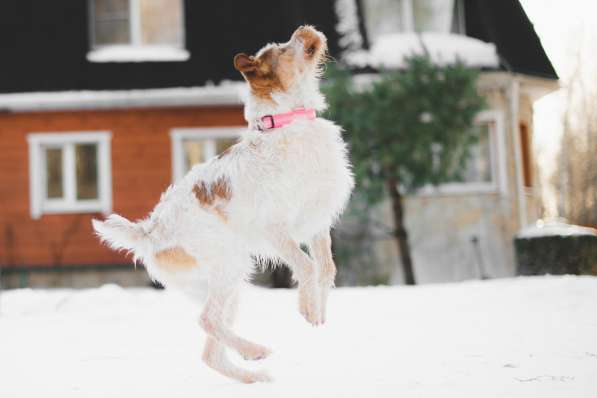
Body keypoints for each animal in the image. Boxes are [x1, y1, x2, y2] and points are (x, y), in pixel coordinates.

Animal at [93, 26, 354, 384]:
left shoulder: (316, 223)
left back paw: (254, 376)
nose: (304, 29)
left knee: (210, 352)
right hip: (230, 266)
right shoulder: (275, 230)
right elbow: (306, 266)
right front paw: (306, 306)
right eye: (282, 49)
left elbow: (326, 270)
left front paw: (318, 310)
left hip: (227, 284)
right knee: (206, 321)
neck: (288, 123)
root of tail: (149, 231)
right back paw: (254, 351)